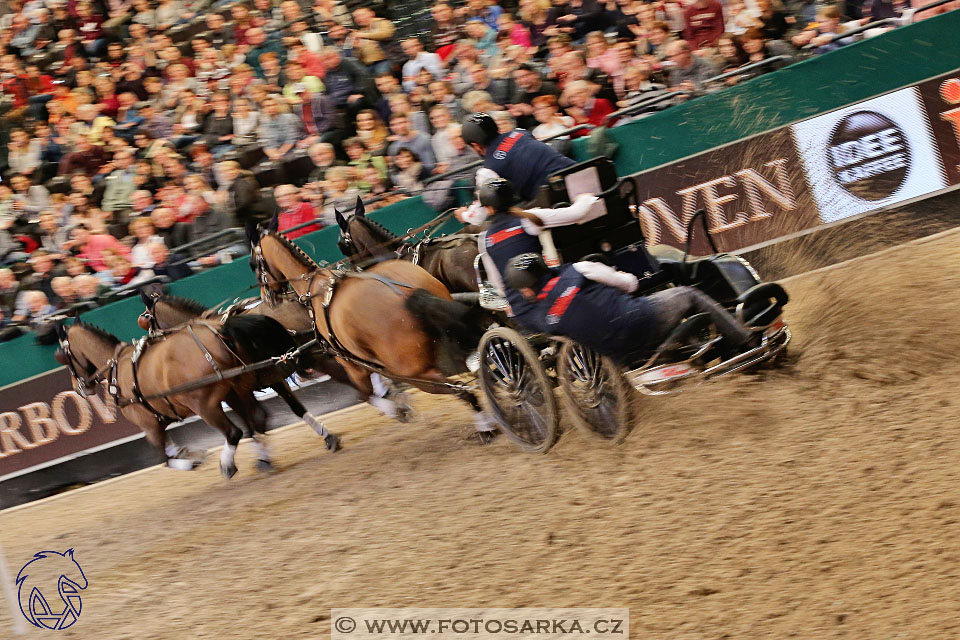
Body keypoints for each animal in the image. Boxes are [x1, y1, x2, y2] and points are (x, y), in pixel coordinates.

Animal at [53, 316, 312, 480]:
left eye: (63, 357)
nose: (79, 388)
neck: (116, 366)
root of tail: (219, 332)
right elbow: (170, 451)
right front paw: (189, 454)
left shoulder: (149, 425)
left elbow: (165, 459)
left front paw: (191, 460)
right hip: (239, 387)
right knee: (257, 419)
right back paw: (268, 458)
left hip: (205, 404)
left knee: (234, 432)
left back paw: (228, 465)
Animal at [248, 228, 502, 442]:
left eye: (255, 265)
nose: (267, 296)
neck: (317, 288)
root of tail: (409, 294)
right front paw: (399, 402)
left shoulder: (352, 364)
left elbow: (364, 394)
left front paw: (397, 409)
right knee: (476, 369)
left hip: (414, 372)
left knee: (461, 389)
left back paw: (485, 425)